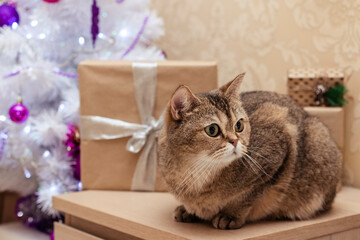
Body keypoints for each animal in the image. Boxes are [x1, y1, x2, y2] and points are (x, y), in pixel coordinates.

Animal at [158, 73, 340, 229]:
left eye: (239, 125)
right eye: (212, 130)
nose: (235, 141)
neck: (196, 172)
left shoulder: (277, 151)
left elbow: (247, 196)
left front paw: (230, 215)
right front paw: (188, 210)